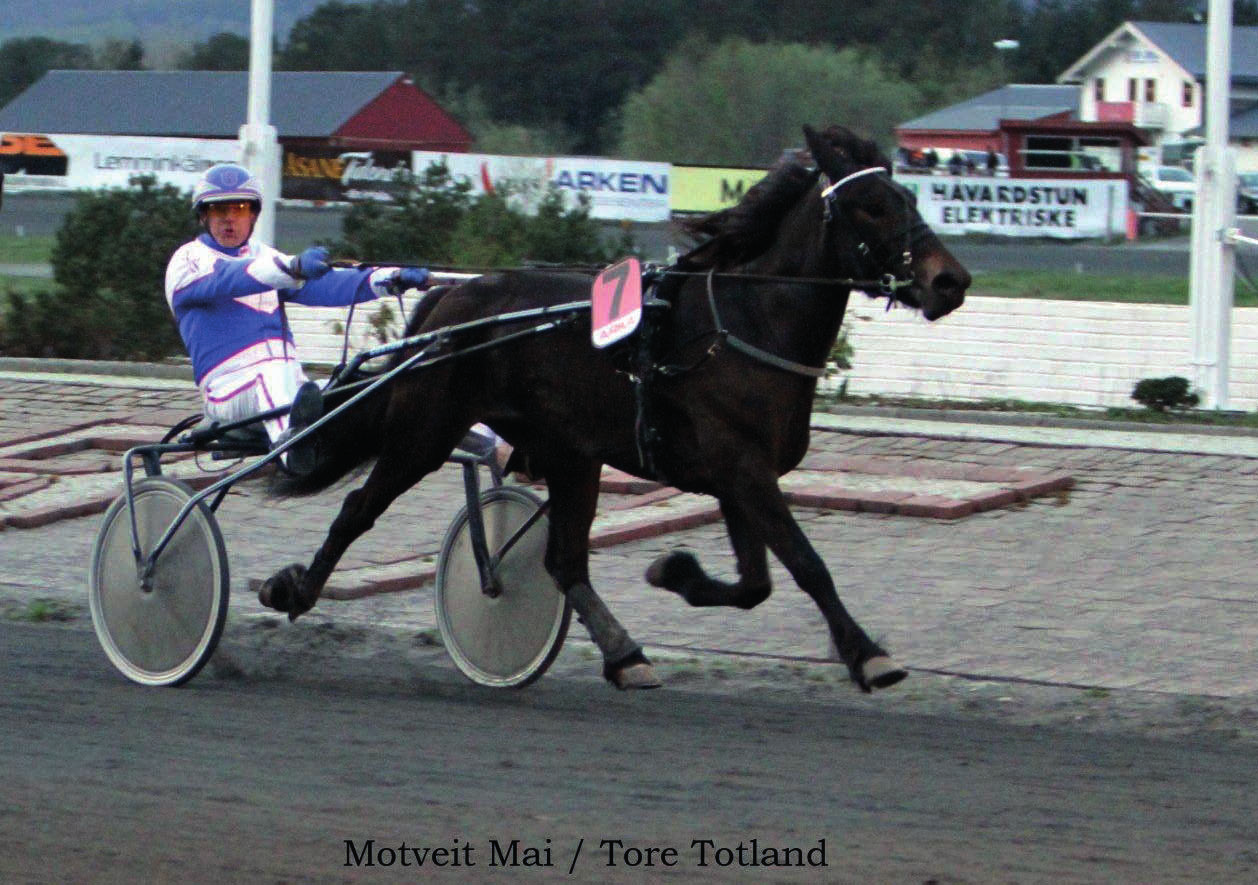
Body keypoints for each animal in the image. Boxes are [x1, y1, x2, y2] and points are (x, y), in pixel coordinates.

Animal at [260, 124, 971, 694]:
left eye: (911, 199)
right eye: (870, 206)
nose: (951, 281)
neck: (745, 324)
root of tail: (449, 302)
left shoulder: (737, 476)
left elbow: (754, 584)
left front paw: (674, 570)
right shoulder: (742, 469)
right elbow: (806, 564)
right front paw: (869, 655)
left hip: (572, 455)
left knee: (564, 560)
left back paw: (626, 655)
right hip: (424, 433)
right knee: (358, 508)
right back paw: (294, 588)